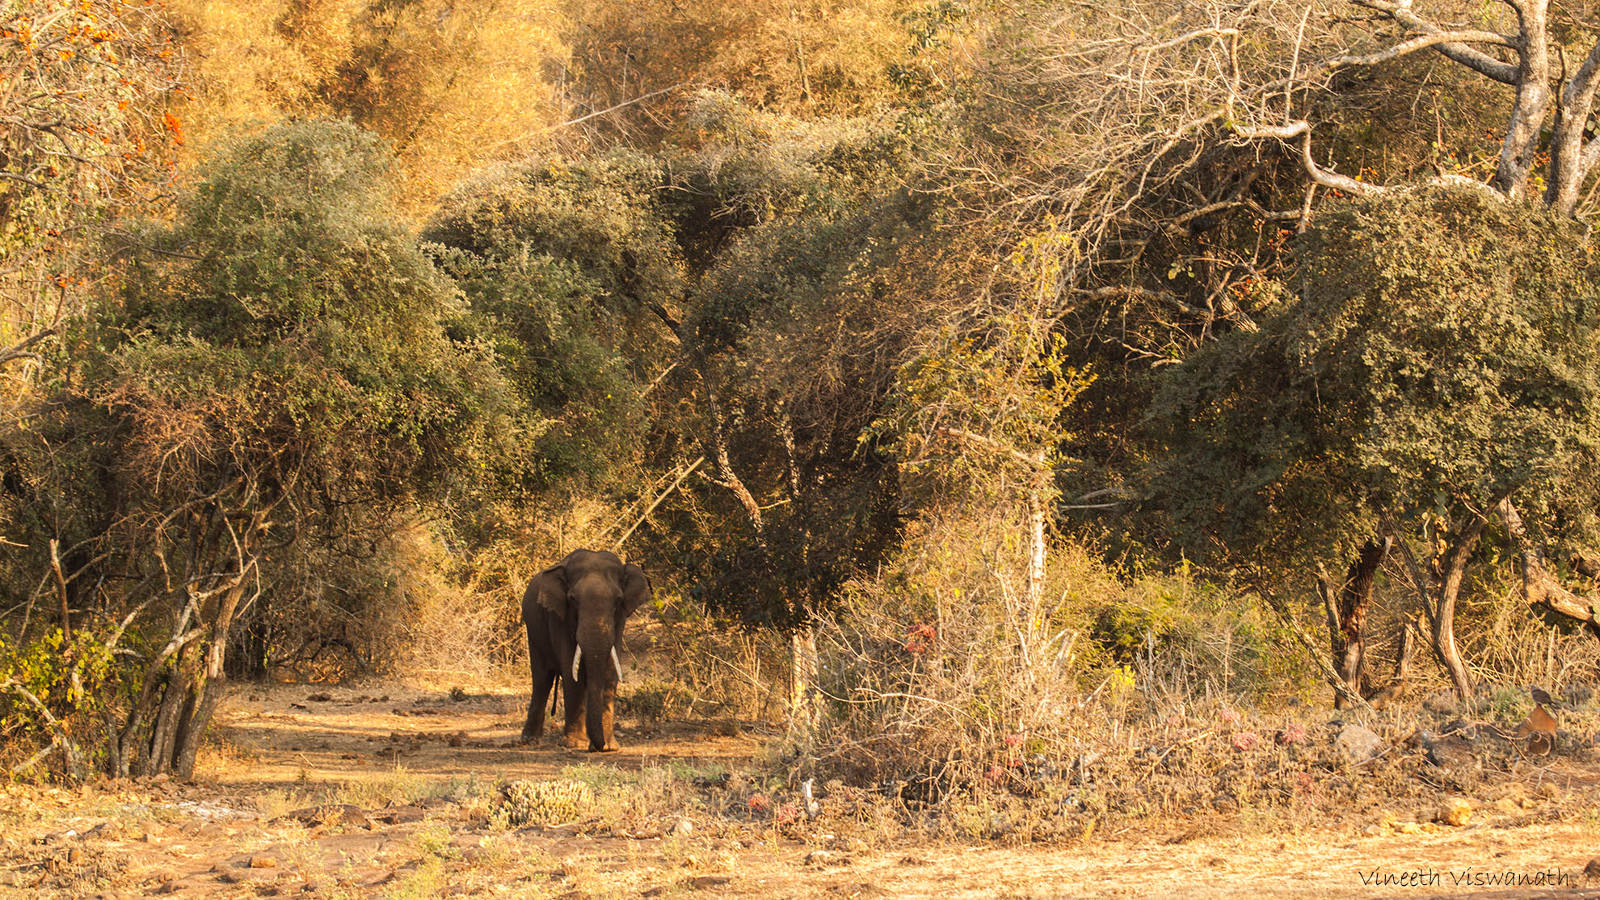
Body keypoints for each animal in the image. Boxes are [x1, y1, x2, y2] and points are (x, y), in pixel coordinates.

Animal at [521, 547, 652, 749]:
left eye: (618, 599)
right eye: (572, 599)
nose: (598, 746)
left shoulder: (620, 620)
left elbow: (609, 672)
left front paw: (609, 747)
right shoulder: (559, 618)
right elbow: (571, 673)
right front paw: (576, 744)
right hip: (534, 633)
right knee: (542, 680)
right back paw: (529, 740)